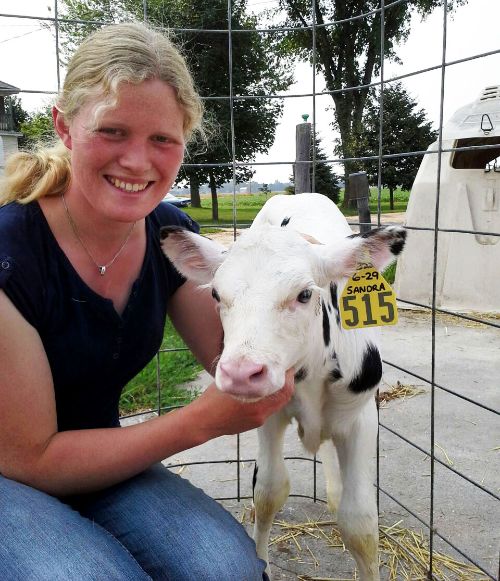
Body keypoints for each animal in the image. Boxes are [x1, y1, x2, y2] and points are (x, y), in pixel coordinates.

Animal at [161, 194, 406, 580]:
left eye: (304, 294)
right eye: (215, 294)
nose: (241, 373)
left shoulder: (361, 418)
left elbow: (361, 523)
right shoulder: (269, 415)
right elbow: (268, 492)